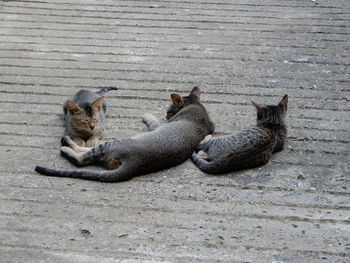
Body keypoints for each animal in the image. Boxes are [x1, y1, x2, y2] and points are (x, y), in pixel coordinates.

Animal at [34, 87, 213, 183]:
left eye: (169, 112)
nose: (167, 116)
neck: (198, 109)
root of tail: (134, 165)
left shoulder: (160, 126)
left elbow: (153, 120)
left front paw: (147, 115)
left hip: (115, 143)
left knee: (81, 158)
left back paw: (65, 144)